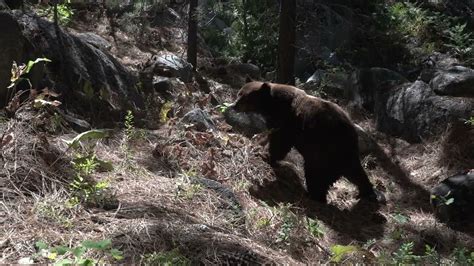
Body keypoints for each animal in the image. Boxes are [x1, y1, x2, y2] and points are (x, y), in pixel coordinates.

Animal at [233, 81, 386, 204]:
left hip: (325, 150)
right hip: (344, 155)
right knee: (356, 173)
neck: (273, 105)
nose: (234, 105)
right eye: (239, 93)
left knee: (316, 174)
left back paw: (314, 195)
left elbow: (281, 141)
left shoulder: (289, 121)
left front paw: (266, 155)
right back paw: (367, 193)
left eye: (244, 97)